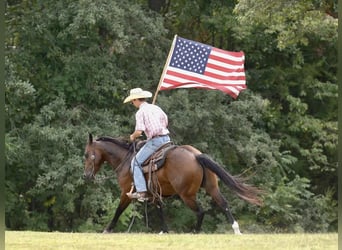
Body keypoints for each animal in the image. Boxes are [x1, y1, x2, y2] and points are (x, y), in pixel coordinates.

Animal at [83, 134, 262, 233]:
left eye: (86, 154)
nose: (86, 175)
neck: (125, 160)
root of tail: (195, 156)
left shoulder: (126, 192)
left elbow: (118, 210)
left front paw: (107, 229)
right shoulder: (154, 194)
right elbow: (160, 210)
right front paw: (165, 231)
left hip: (186, 195)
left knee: (201, 211)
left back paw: (195, 232)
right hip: (212, 187)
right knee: (224, 204)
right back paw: (236, 230)